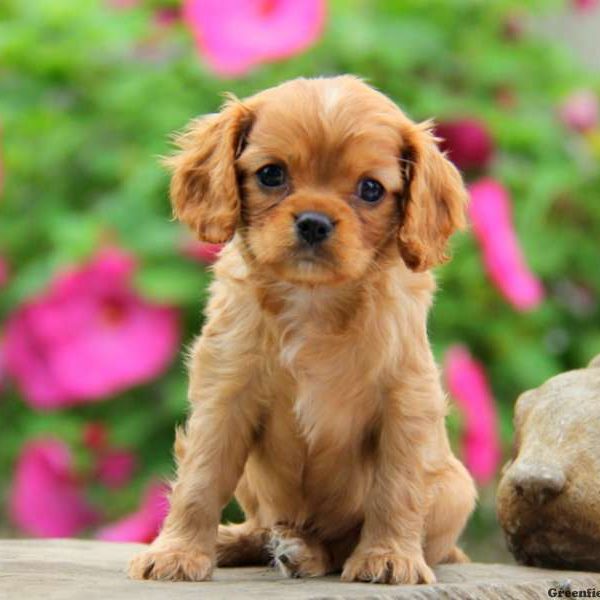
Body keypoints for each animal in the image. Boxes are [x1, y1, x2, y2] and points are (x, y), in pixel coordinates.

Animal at [129, 76, 476, 584]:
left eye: (371, 189)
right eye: (271, 174)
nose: (314, 222)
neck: (313, 300)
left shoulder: (406, 402)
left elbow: (396, 488)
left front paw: (389, 557)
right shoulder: (224, 396)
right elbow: (200, 479)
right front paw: (177, 552)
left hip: (455, 490)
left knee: (334, 544)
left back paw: (305, 551)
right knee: (264, 524)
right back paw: (241, 541)